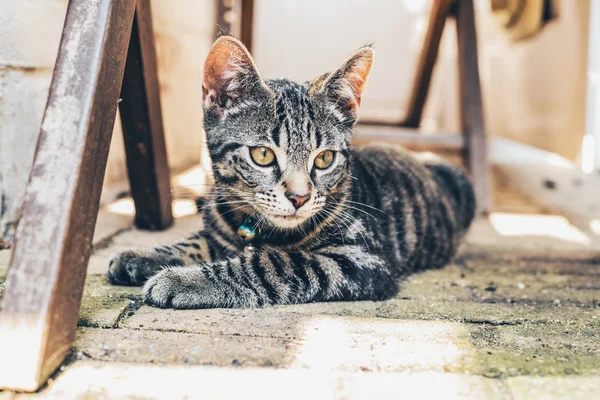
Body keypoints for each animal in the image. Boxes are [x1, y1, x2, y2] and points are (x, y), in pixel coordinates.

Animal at [106, 36, 474, 310]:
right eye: (263, 154)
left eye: (324, 159)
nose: (299, 197)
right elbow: (198, 240)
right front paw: (144, 255)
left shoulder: (361, 260)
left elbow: (274, 263)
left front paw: (185, 279)